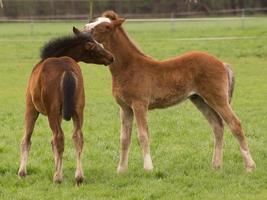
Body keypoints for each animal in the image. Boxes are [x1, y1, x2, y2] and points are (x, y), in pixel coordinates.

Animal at [17, 27, 114, 184]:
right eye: (94, 46)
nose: (111, 57)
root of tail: (67, 70)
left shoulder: (30, 107)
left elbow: (27, 139)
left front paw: (22, 172)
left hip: (52, 110)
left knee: (59, 137)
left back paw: (57, 177)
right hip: (79, 108)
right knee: (77, 136)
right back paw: (79, 176)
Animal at [85, 11, 258, 173]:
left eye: (106, 26)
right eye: (95, 21)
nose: (85, 29)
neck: (128, 68)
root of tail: (222, 63)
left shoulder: (140, 104)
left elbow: (143, 135)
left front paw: (148, 168)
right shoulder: (125, 108)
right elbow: (124, 138)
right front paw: (121, 170)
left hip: (217, 98)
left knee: (235, 124)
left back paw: (249, 166)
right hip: (199, 99)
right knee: (217, 126)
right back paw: (216, 165)